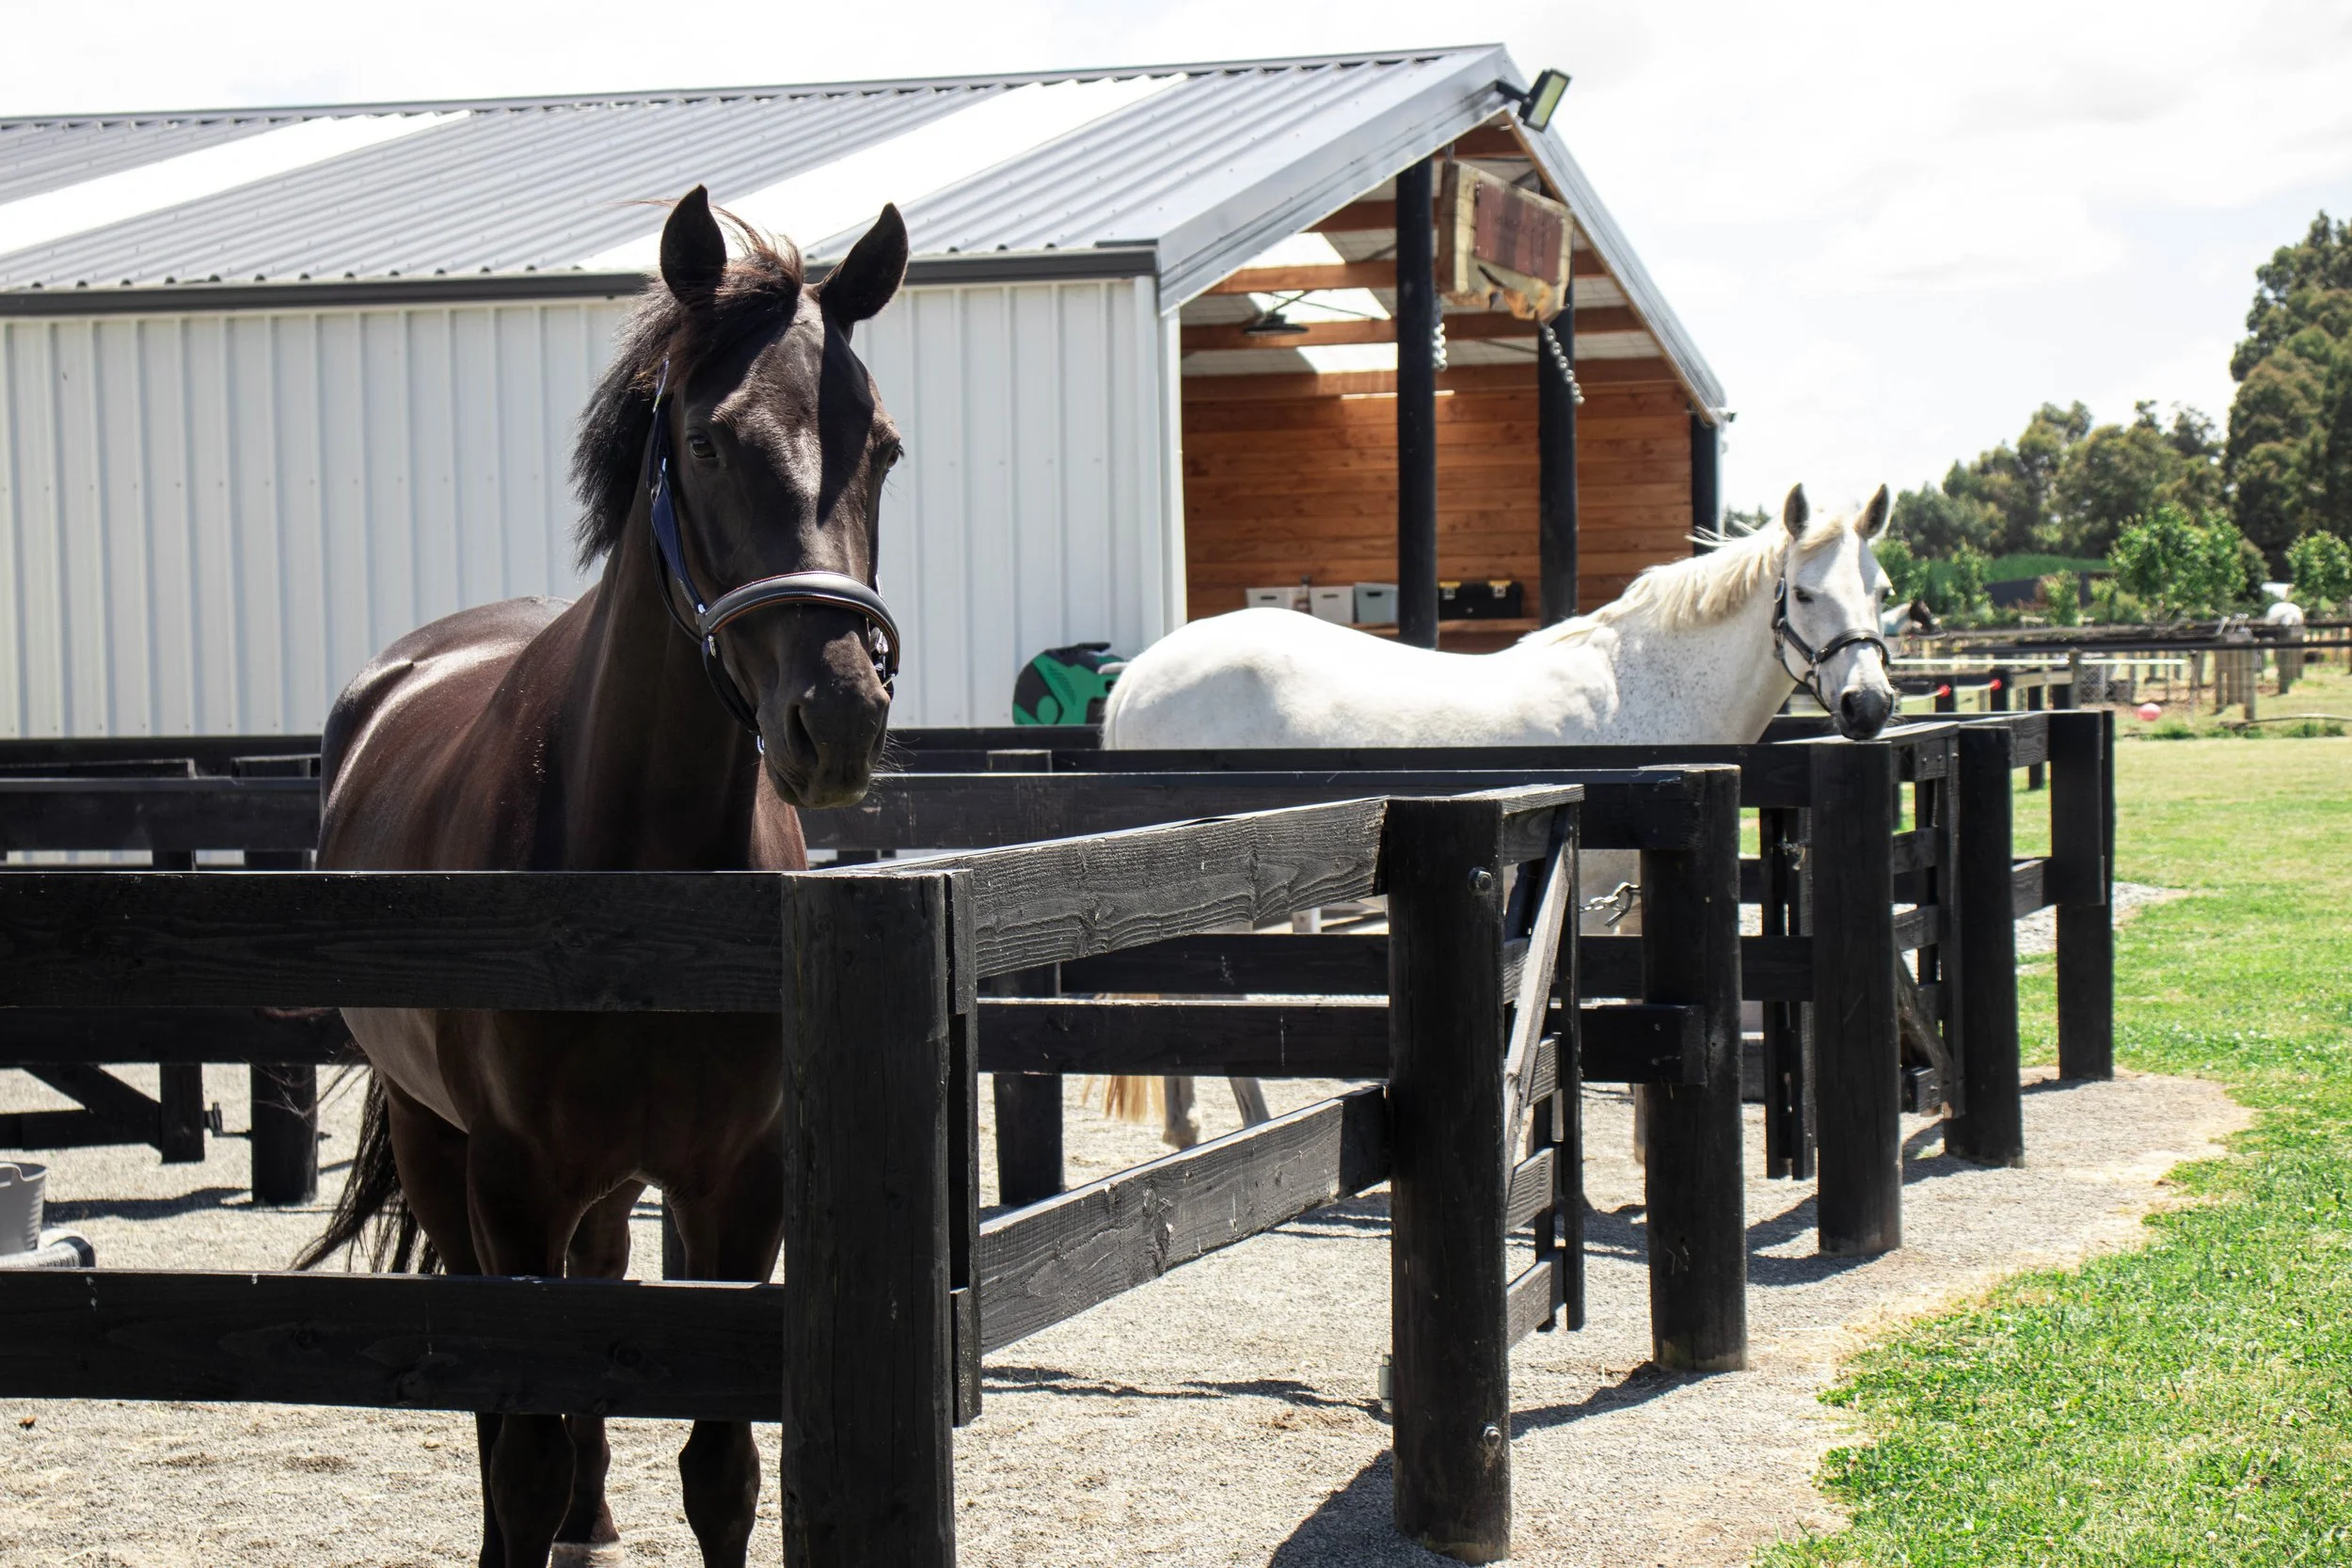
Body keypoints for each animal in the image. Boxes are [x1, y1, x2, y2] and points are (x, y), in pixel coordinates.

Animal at [295, 187, 909, 1568]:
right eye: (712, 441)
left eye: (885, 448)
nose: (838, 716)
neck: (632, 881)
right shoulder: (512, 1179)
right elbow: (516, 1435)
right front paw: (519, 1519)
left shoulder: (738, 1183)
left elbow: (722, 1466)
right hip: (440, 1146)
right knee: (494, 1363)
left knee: (600, 1300)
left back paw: (592, 1508)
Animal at [1101, 483, 1898, 1147]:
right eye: (1804, 593)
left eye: (1882, 590)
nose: (1869, 704)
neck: (1644, 694)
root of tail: (1138, 675)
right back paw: (1249, 1123)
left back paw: (1186, 1126)